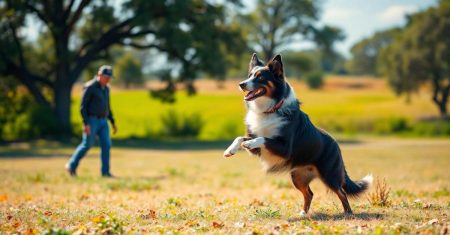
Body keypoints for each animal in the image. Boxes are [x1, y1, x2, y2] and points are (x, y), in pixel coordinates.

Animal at [223, 53, 370, 215]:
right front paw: (230, 150)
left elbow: (263, 138)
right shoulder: (257, 150)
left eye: (260, 77)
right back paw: (303, 213)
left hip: (329, 175)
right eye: (249, 76)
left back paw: (348, 213)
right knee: (309, 193)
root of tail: (337, 145)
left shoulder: (284, 148)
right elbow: (241, 137)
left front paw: (248, 143)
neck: (270, 109)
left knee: (341, 193)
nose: (241, 84)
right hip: (297, 176)